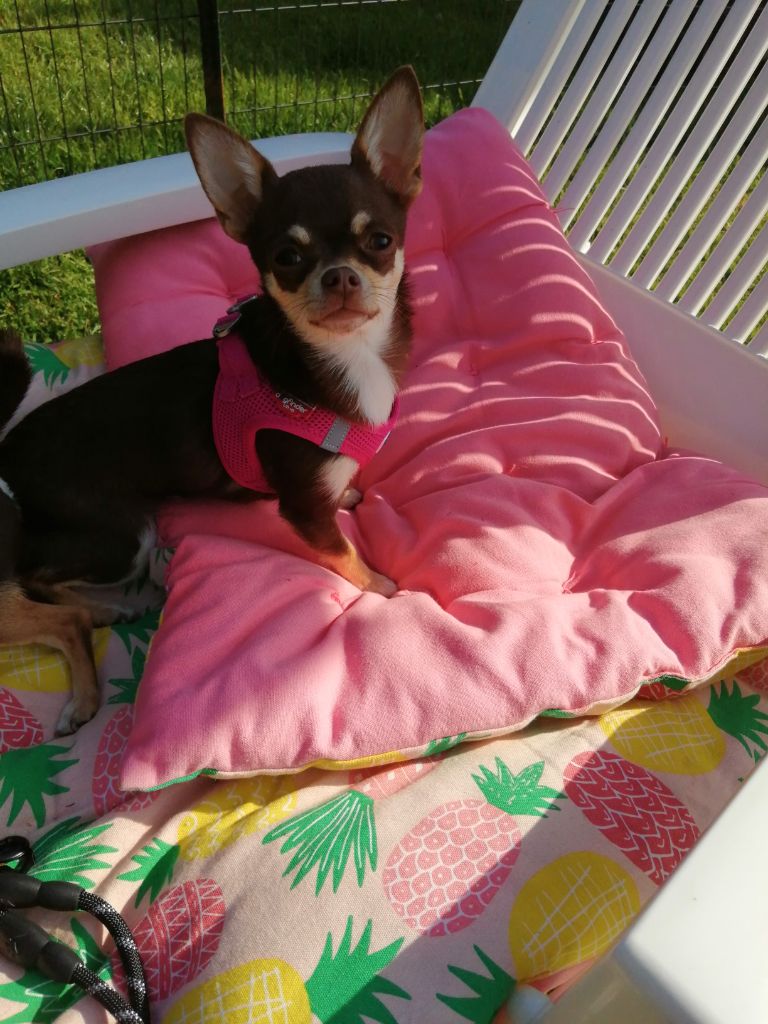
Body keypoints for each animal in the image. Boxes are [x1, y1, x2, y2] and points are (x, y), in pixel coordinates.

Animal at [0, 66, 424, 735]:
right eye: (286, 257)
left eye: (380, 240)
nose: (338, 275)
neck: (346, 361)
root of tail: (7, 452)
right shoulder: (301, 511)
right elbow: (346, 555)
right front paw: (381, 588)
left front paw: (350, 491)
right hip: (119, 536)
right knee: (36, 580)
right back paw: (109, 610)